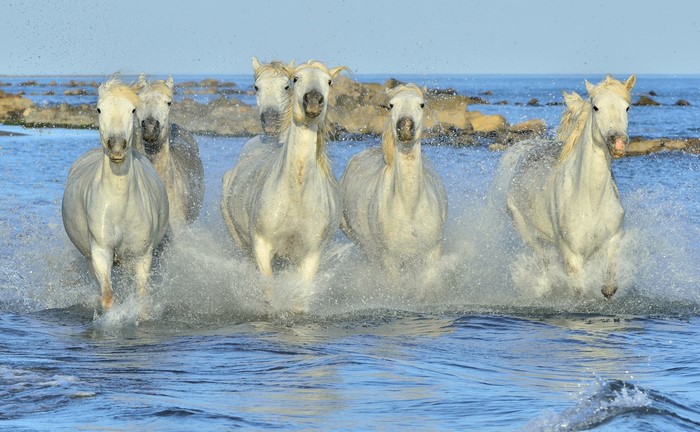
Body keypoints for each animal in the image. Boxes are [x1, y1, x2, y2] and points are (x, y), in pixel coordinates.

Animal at [61, 78, 169, 311]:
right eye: (99, 109)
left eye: (133, 110)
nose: (117, 147)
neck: (120, 205)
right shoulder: (101, 251)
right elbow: (108, 297)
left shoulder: (141, 256)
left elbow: (141, 298)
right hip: (89, 257)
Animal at [221, 60, 346, 308]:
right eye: (295, 79)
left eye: (329, 81)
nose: (313, 100)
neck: (295, 192)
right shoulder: (261, 247)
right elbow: (268, 291)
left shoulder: (310, 255)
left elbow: (300, 298)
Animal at [339, 84, 448, 279]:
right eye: (391, 105)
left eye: (422, 104)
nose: (405, 127)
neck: (409, 208)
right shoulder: (389, 261)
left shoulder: (433, 253)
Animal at [492, 74, 636, 298]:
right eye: (596, 107)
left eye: (627, 107)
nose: (618, 142)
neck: (590, 199)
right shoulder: (572, 254)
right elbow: (578, 291)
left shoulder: (613, 239)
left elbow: (609, 286)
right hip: (525, 231)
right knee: (543, 259)